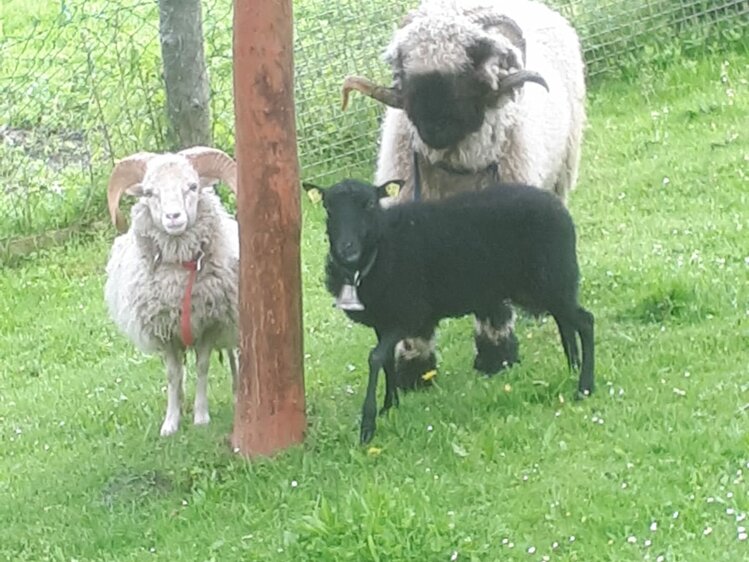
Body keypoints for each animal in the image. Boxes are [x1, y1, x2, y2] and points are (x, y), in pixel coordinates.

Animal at [103, 147, 238, 436]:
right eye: (149, 192)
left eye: (193, 186)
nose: (173, 217)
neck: (180, 273)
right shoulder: (164, 331)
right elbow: (173, 375)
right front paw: (171, 421)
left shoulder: (210, 324)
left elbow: (202, 367)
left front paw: (201, 417)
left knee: (235, 354)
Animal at [300, 176, 592, 442]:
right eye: (328, 207)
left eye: (370, 204)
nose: (346, 248)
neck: (381, 249)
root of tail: (558, 206)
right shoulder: (383, 321)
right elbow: (386, 362)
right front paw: (389, 406)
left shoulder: (407, 314)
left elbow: (375, 358)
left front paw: (368, 424)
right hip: (548, 285)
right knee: (566, 323)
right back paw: (572, 369)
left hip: (552, 278)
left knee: (585, 322)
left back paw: (585, 387)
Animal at [340, 0, 592, 384]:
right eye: (405, 66)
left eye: (472, 61)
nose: (432, 124)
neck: (454, 172)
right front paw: (416, 371)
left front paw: (496, 357)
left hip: (558, 177)